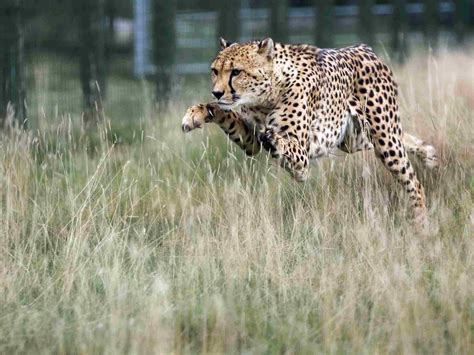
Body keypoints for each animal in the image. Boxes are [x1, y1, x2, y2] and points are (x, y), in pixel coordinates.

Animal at [181, 37, 436, 229]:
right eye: (215, 71)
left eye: (236, 72)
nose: (216, 92)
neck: (265, 97)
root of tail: (364, 48)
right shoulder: (249, 140)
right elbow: (224, 114)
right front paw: (196, 113)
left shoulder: (301, 161)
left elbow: (283, 144)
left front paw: (272, 138)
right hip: (356, 139)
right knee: (403, 139)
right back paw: (429, 153)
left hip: (384, 140)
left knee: (413, 181)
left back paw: (421, 224)